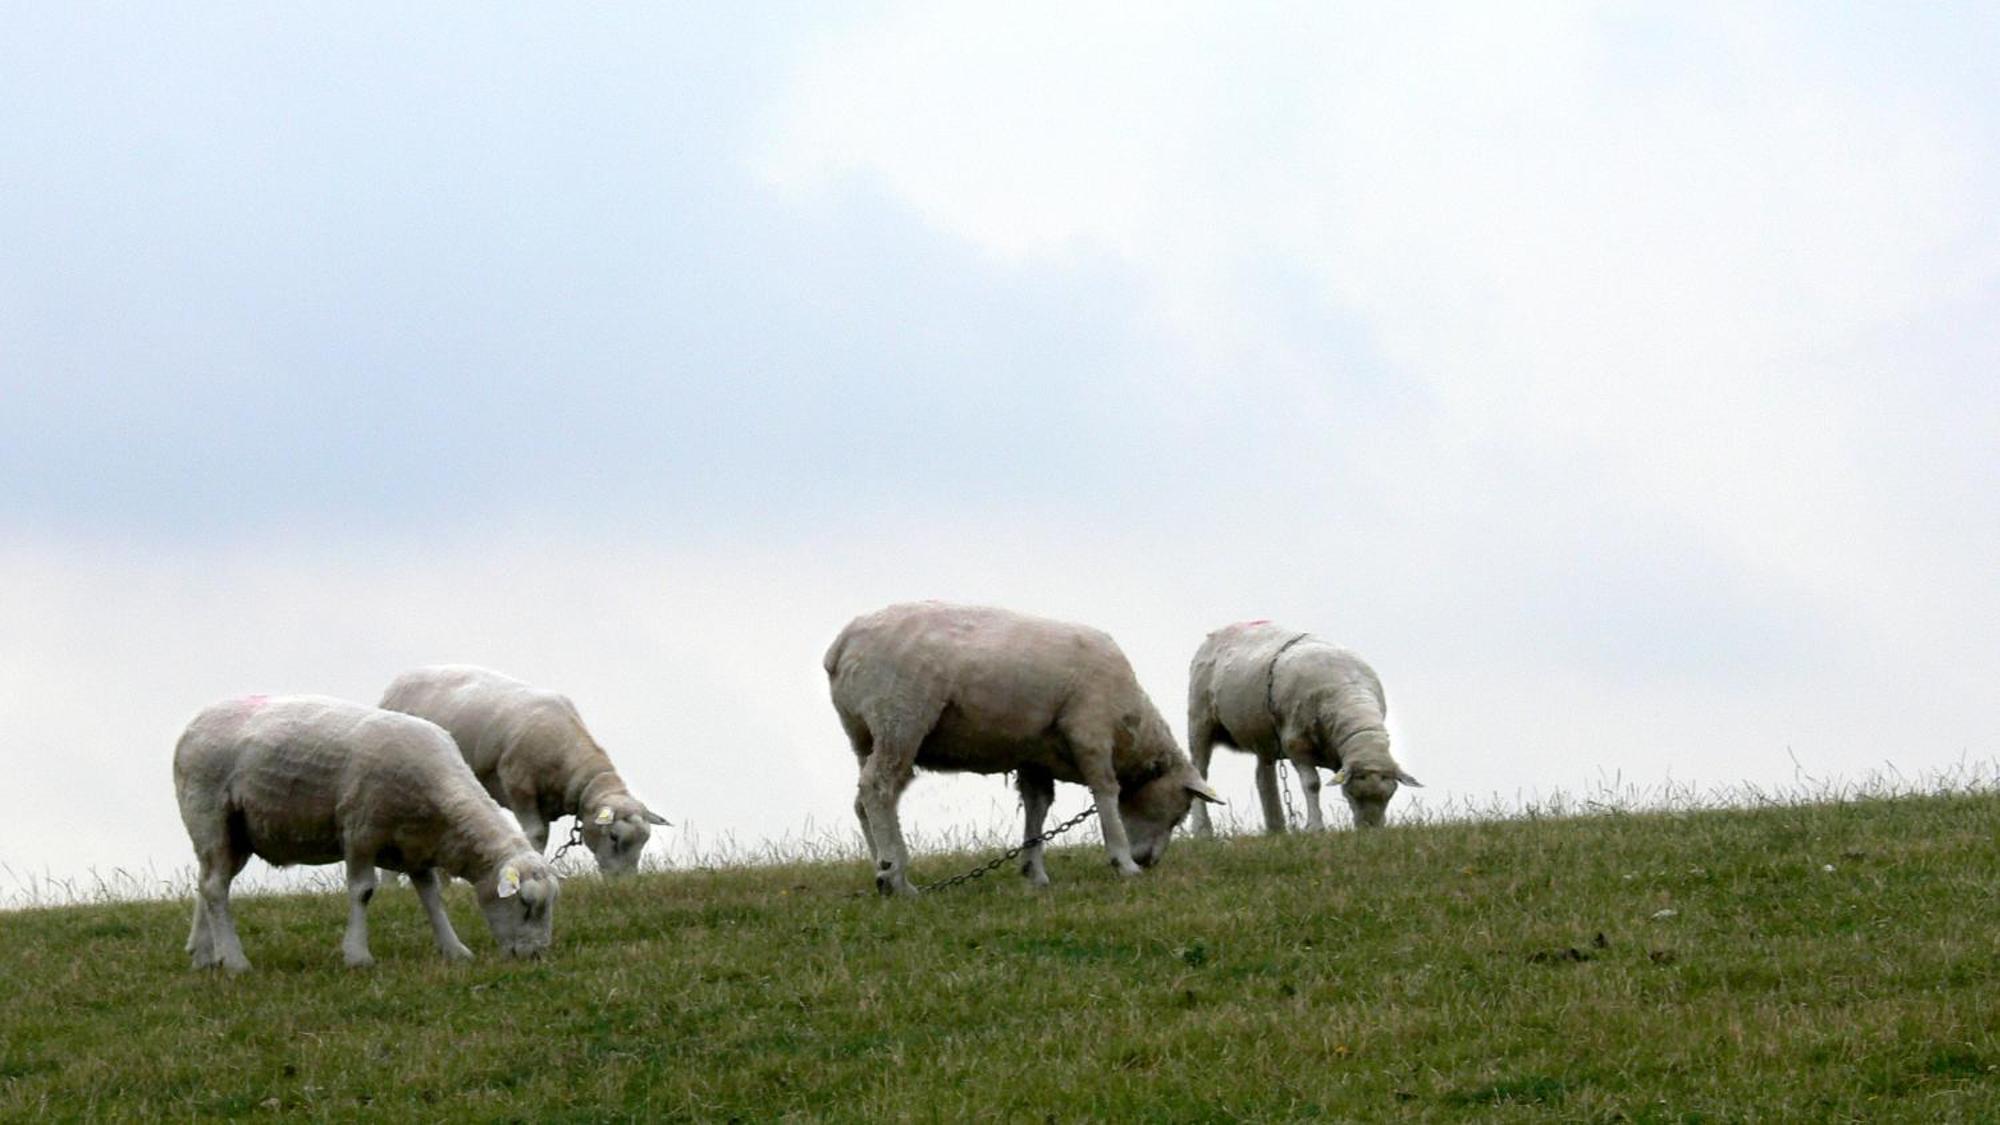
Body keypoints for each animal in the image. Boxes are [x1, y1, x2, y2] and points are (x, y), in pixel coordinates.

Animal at [173, 688, 560, 968]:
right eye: (525, 903)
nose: (537, 956)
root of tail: (193, 725)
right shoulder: (360, 831)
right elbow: (362, 891)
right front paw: (358, 956)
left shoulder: (415, 846)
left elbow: (432, 898)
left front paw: (454, 950)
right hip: (209, 814)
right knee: (215, 887)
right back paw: (235, 961)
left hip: (236, 834)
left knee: (209, 883)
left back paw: (205, 955)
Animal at [382, 660, 672, 872]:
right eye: (614, 837)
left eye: (644, 841)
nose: (625, 882)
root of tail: (398, 681)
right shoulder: (519, 784)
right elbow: (536, 835)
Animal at [816, 600, 1216, 888]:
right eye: (1179, 813)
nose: (1150, 862)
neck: (1133, 728)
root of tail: (843, 644)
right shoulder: (1090, 728)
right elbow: (1106, 793)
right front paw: (1124, 863)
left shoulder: (1034, 756)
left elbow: (1038, 807)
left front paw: (1034, 873)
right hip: (901, 717)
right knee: (879, 788)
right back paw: (893, 875)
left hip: (865, 733)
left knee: (864, 799)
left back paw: (887, 871)